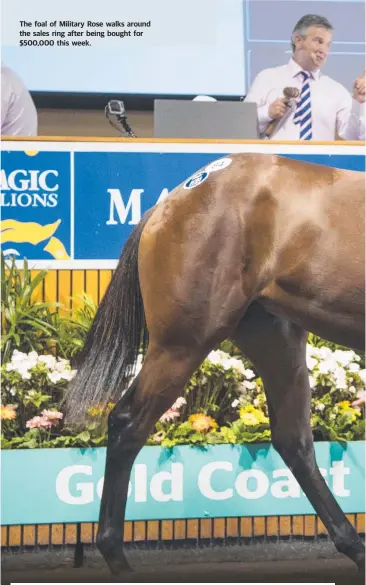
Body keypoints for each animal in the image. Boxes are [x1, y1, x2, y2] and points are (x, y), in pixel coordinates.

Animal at [64, 152, 364, 576]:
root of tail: (172, 200)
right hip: (183, 344)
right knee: (127, 423)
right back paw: (116, 557)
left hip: (276, 339)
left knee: (294, 440)